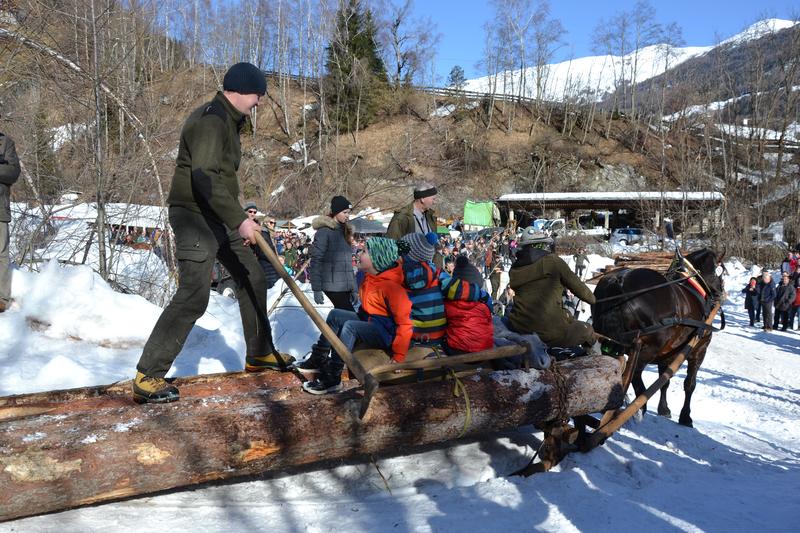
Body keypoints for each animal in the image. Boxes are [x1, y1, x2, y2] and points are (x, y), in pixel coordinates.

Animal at [591, 248, 725, 427]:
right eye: (719, 270)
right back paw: (638, 407)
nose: (719, 293)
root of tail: (618, 281)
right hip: (647, 348)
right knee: (634, 373)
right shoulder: (699, 350)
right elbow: (689, 384)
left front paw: (664, 409)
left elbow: (665, 380)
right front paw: (686, 417)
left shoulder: (667, 353)